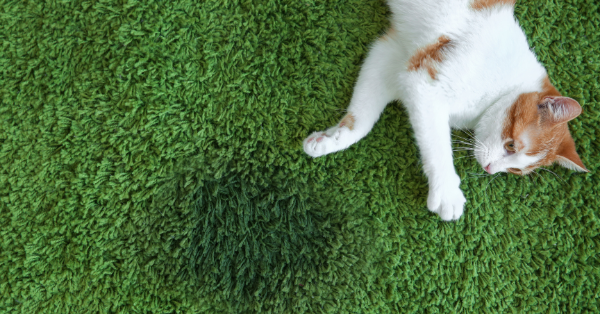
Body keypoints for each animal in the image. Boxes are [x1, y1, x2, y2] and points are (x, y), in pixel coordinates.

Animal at [302, 0, 588, 221]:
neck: (505, 85)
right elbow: (437, 144)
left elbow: (362, 116)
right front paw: (447, 191)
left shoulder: (392, 53)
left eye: (516, 170)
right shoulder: (425, 85)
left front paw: (333, 139)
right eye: (511, 146)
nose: (490, 170)